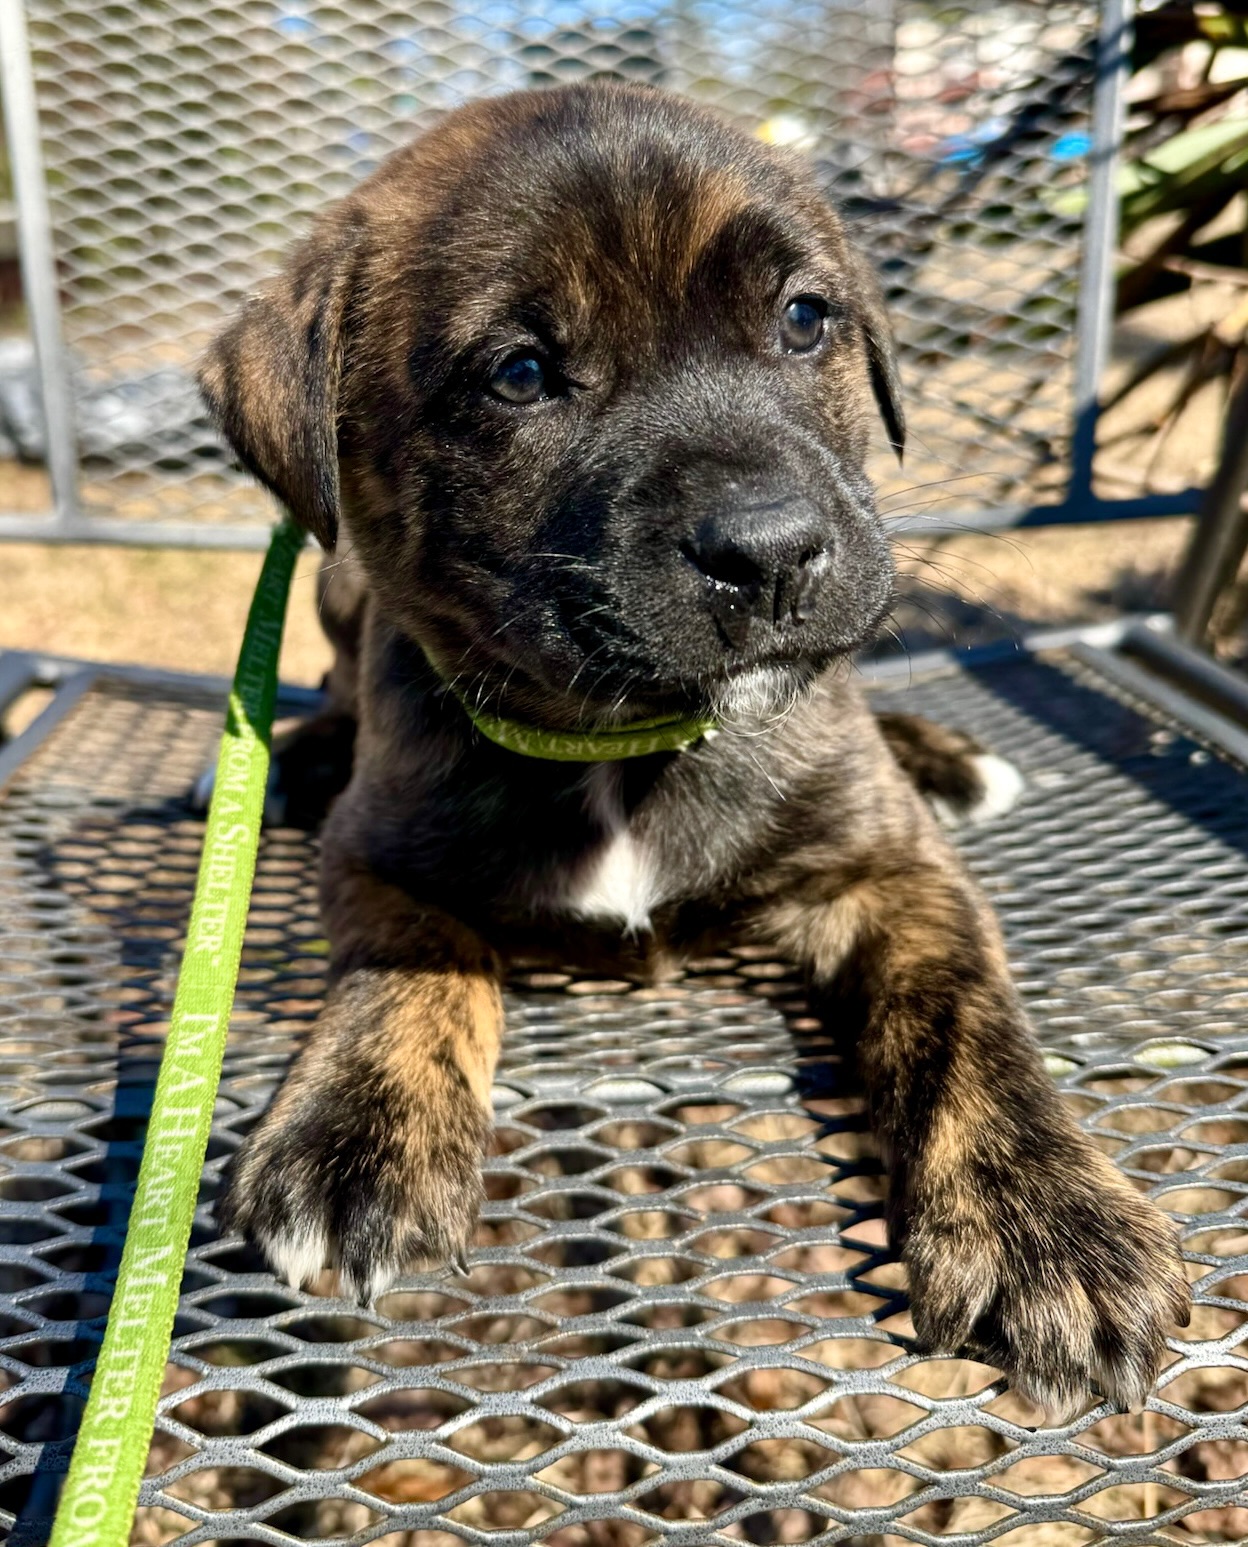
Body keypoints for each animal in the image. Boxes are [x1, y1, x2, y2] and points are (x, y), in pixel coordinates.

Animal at [202, 81, 1193, 1417]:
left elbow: (963, 1017)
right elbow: (410, 956)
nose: (769, 551)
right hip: (335, 588)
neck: (632, 741)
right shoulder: (374, 853)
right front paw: (353, 1134)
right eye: (520, 374)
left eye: (806, 318)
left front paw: (1047, 1215)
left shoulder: (894, 871)